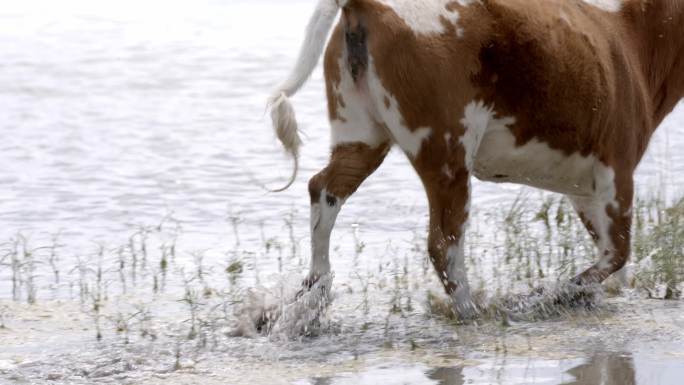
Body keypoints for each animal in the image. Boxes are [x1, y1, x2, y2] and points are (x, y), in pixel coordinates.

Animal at [268, 0, 684, 316]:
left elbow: (613, 256)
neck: (631, 32)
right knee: (443, 242)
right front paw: (549, 296)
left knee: (324, 189)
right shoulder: (617, 167)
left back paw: (311, 295)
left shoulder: (583, 186)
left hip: (360, 136)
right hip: (446, 152)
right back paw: (473, 313)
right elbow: (618, 252)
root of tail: (368, 5)